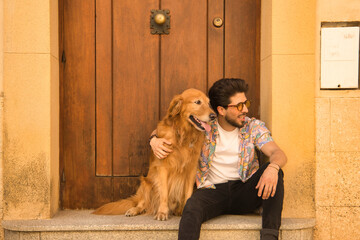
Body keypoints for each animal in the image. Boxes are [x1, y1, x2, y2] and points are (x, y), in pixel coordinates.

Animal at [94, 87, 215, 219]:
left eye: (208, 103)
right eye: (197, 102)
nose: (213, 116)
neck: (183, 134)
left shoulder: (191, 169)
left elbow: (187, 193)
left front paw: (184, 209)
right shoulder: (163, 167)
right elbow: (164, 193)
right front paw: (162, 212)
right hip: (147, 183)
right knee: (143, 203)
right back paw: (134, 210)